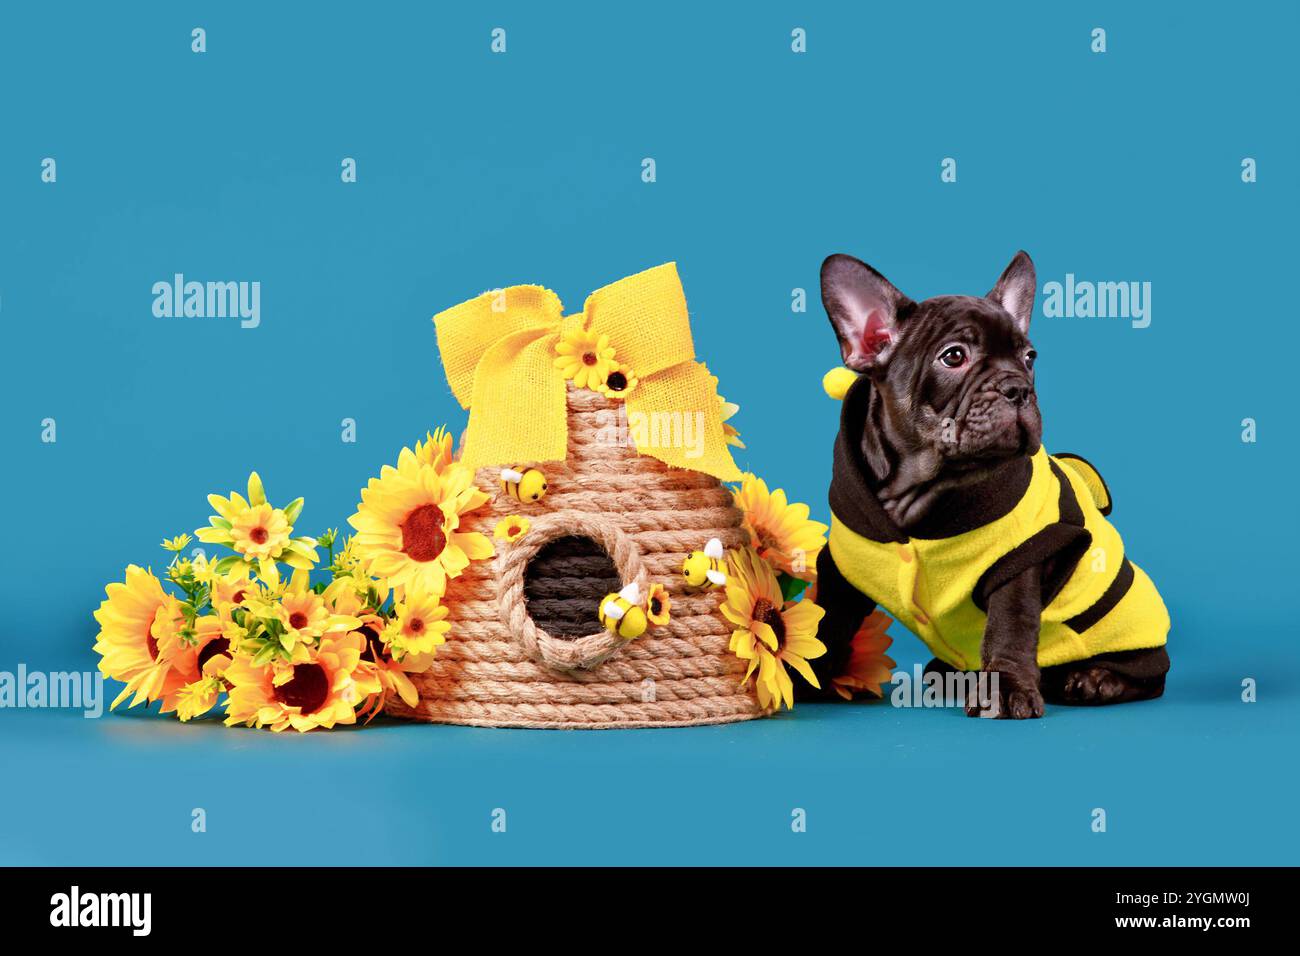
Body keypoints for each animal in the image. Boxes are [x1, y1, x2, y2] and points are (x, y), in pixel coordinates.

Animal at [811, 252, 1170, 717]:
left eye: (1029, 357)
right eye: (953, 357)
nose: (1018, 387)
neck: (918, 488)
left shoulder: (1019, 561)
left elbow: (1009, 627)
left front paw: (1005, 689)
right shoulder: (841, 563)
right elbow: (828, 621)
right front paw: (802, 674)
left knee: (1151, 674)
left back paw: (1095, 681)